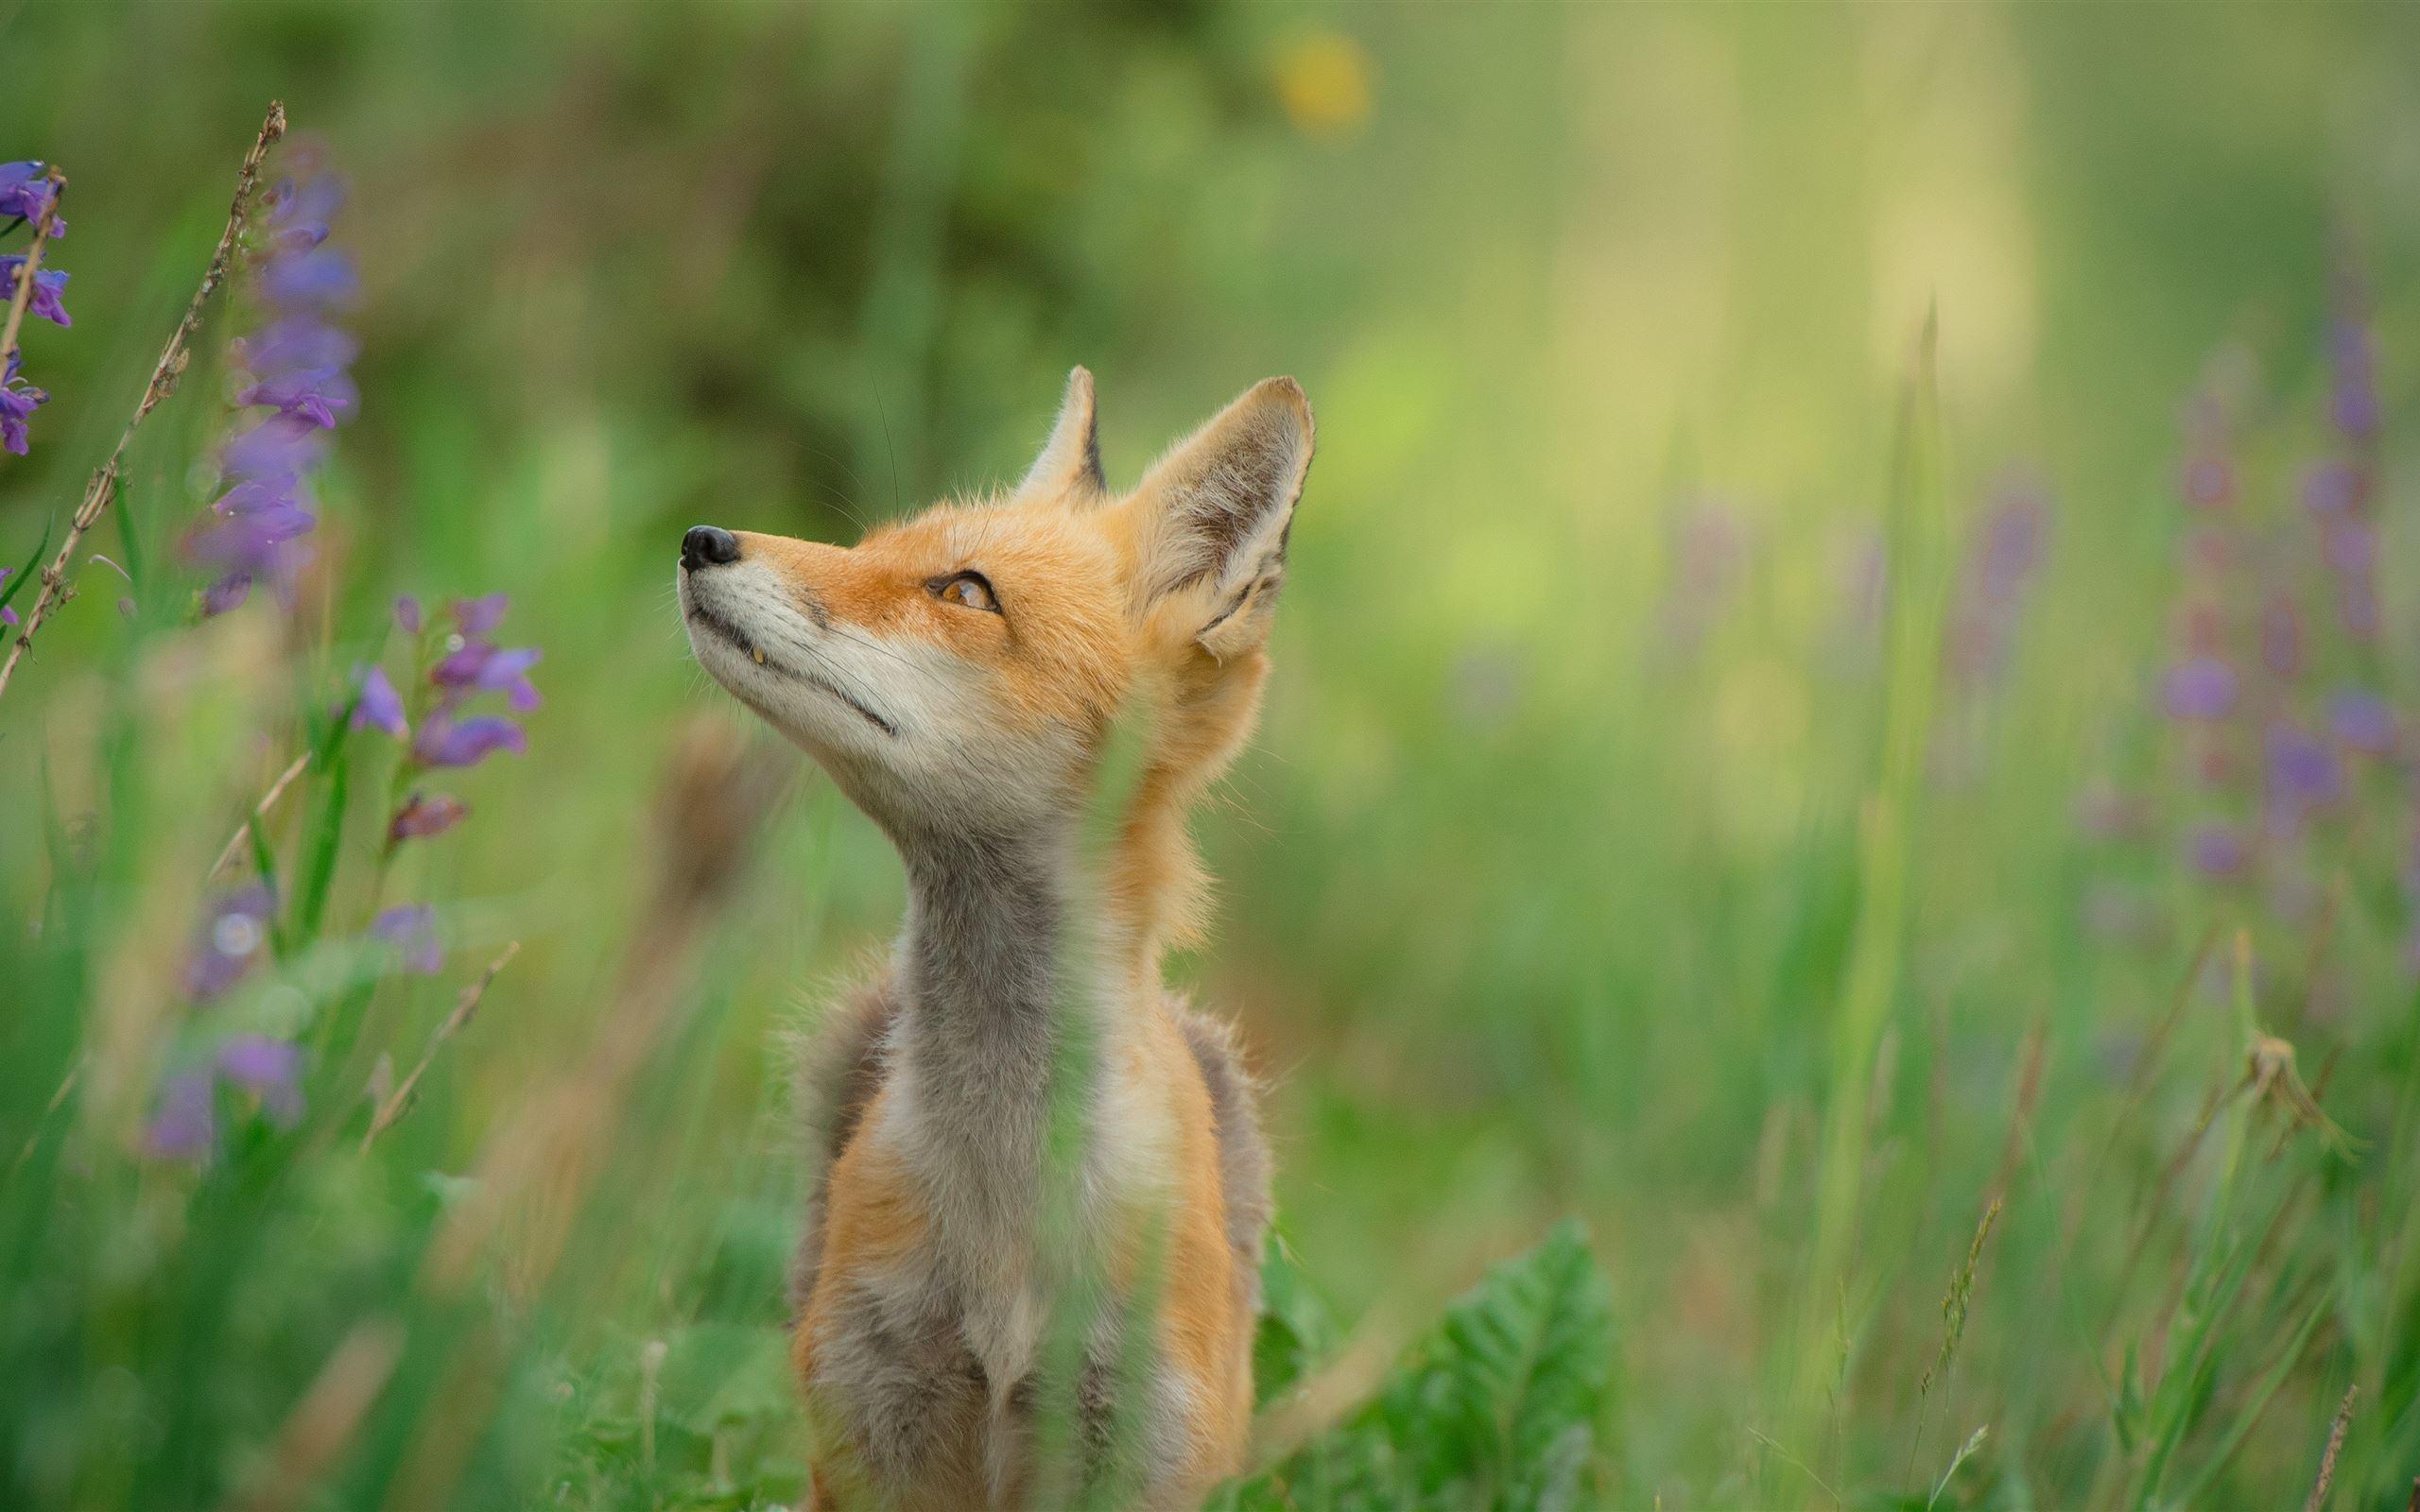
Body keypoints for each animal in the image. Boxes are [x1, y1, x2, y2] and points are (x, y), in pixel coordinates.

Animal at [676, 369, 1312, 1509]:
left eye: (964, 593)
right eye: (870, 546)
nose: (701, 538)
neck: (1005, 1216)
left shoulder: (1139, 1446)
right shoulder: (875, 1423)